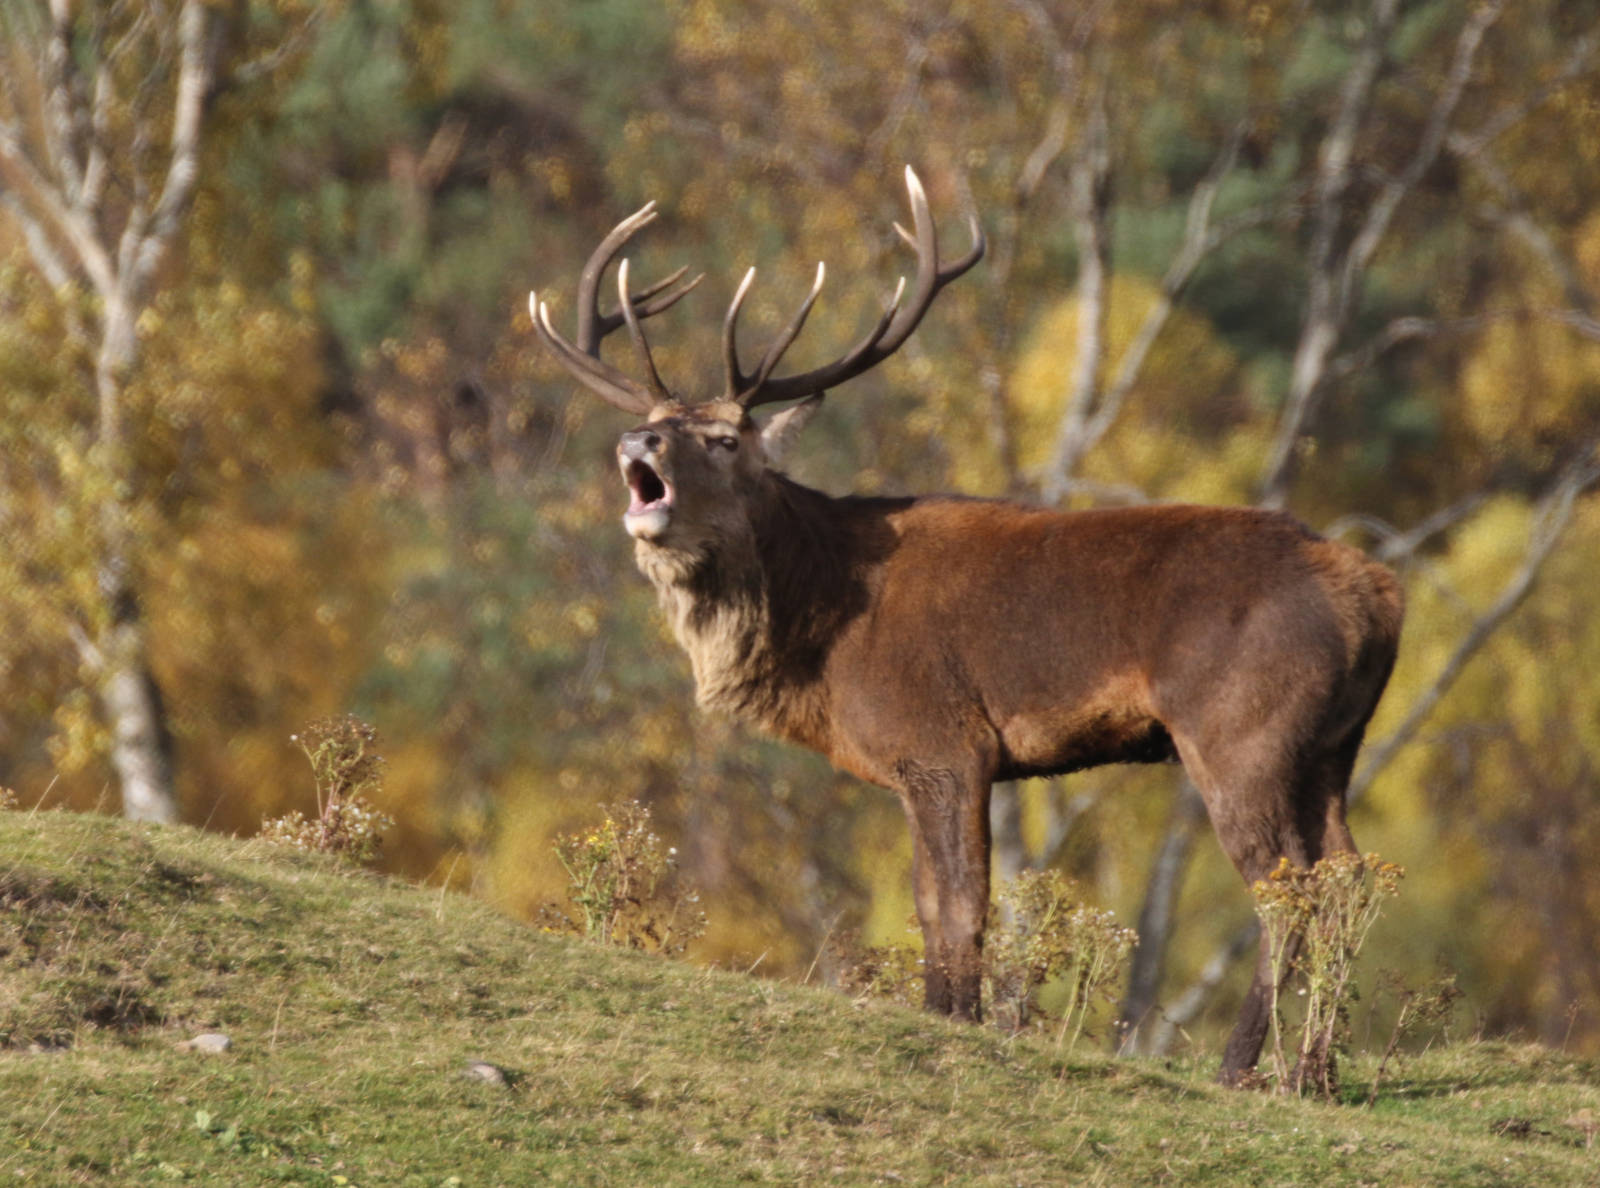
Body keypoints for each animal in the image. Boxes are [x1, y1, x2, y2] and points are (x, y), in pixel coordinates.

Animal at [526, 167, 1404, 1086]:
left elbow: (957, 901)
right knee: (1349, 876)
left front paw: (958, 1021)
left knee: (1288, 885)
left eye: (727, 438)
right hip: (1332, 745)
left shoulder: (943, 741)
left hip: (1240, 729)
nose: (638, 439)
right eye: (662, 425)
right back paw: (1316, 1071)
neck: (819, 638)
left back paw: (1242, 1065)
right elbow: (930, 900)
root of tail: (1379, 593)